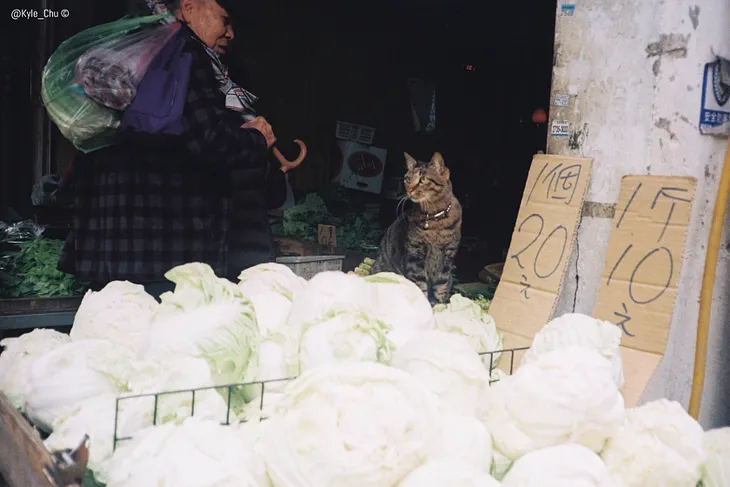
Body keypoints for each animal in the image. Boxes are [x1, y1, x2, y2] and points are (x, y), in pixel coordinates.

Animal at [372, 152, 458, 304]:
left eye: (423, 179)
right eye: (407, 179)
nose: (409, 189)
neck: (435, 221)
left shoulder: (448, 256)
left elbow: (442, 284)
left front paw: (442, 304)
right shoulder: (415, 254)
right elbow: (420, 283)